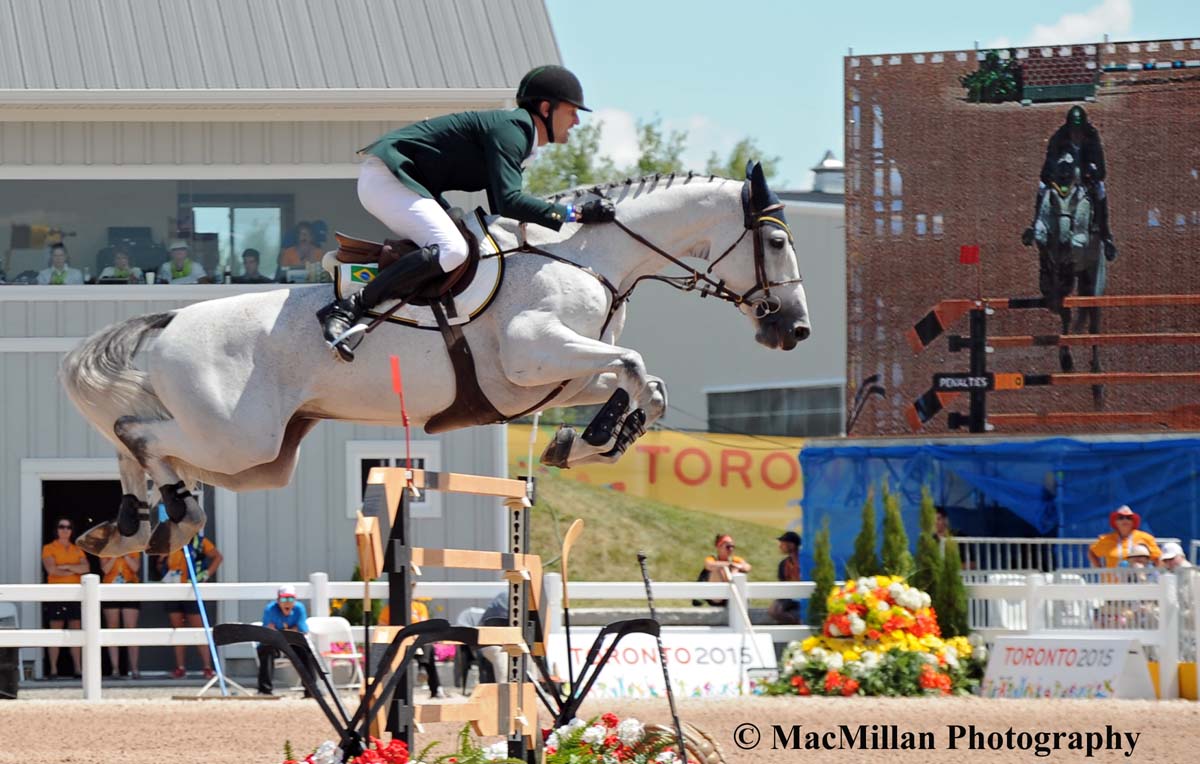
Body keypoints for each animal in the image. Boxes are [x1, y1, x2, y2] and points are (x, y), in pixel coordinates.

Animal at [65, 161, 816, 554]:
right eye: (777, 242)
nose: (797, 329)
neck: (586, 255)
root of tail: (169, 320)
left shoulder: (547, 378)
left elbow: (643, 383)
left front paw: (587, 440)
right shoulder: (534, 353)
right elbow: (634, 366)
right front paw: (596, 439)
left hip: (258, 458)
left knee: (142, 447)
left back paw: (131, 524)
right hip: (236, 436)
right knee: (138, 433)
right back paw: (165, 517)